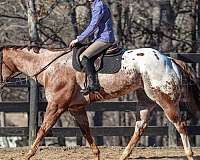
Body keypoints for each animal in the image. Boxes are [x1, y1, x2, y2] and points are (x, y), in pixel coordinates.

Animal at [0, 45, 200, 159]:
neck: (51, 67)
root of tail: (170, 60)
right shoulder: (76, 108)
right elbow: (87, 132)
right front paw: (97, 155)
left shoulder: (57, 106)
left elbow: (43, 129)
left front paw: (28, 154)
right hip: (146, 100)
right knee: (140, 127)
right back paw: (124, 155)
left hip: (165, 100)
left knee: (180, 125)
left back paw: (189, 154)